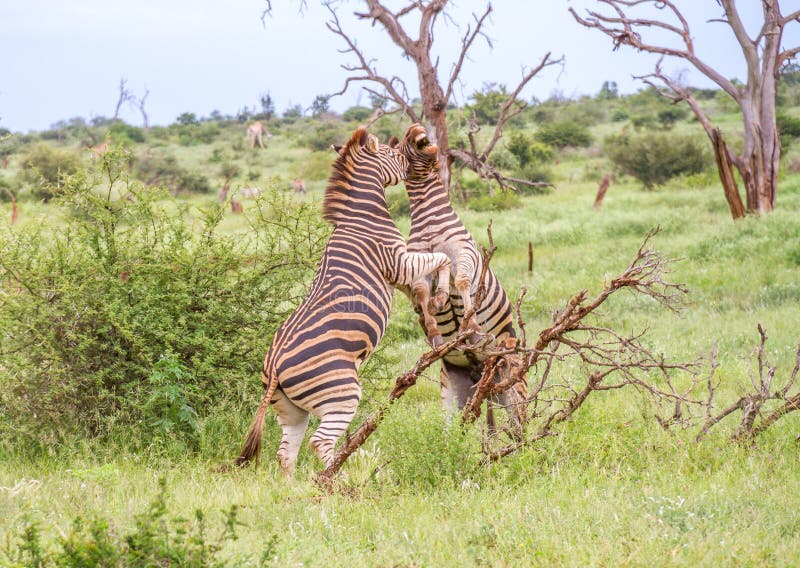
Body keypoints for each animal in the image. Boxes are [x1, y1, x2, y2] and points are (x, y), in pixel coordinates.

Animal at [236, 126, 450, 472]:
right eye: (394, 154)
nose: (411, 159)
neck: (361, 217)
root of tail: (275, 367)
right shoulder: (398, 262)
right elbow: (442, 259)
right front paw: (441, 296)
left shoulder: (397, 274)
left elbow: (420, 291)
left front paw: (430, 324)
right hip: (341, 393)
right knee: (320, 442)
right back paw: (342, 477)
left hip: (291, 408)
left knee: (286, 452)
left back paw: (297, 485)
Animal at [396, 123, 528, 430]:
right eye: (401, 143)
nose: (416, 128)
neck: (428, 218)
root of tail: (480, 372)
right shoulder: (419, 264)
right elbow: (423, 293)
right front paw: (433, 327)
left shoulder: (463, 252)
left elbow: (464, 281)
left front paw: (471, 323)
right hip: (453, 392)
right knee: (455, 433)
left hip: (512, 383)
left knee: (522, 426)